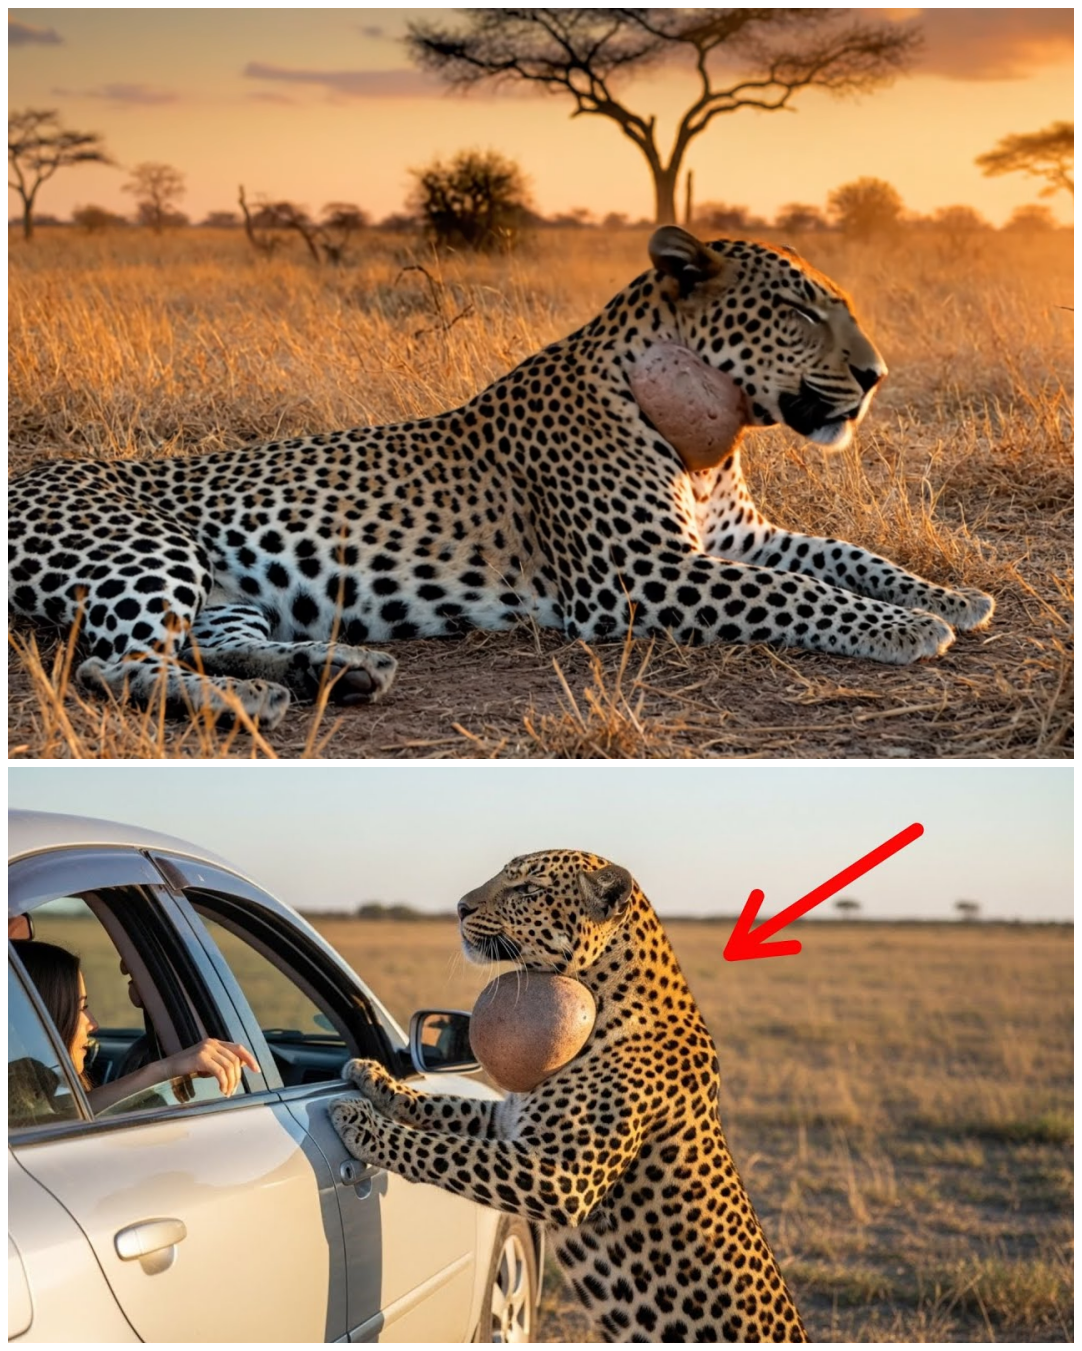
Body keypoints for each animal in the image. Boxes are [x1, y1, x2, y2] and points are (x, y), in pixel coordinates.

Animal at [8, 226, 994, 728]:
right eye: (796, 310)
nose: (877, 376)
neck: (712, 442)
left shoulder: (733, 536)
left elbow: (844, 554)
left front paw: (950, 596)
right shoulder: (642, 576)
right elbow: (798, 590)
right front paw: (906, 629)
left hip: (228, 590)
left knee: (201, 640)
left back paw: (338, 668)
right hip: (147, 545)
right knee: (111, 663)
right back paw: (251, 702)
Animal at [331, 849, 808, 1343]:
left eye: (528, 889)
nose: (461, 908)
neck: (598, 991)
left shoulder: (565, 1177)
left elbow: (445, 1151)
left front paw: (361, 1124)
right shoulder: (510, 1119)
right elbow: (442, 1109)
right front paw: (373, 1077)